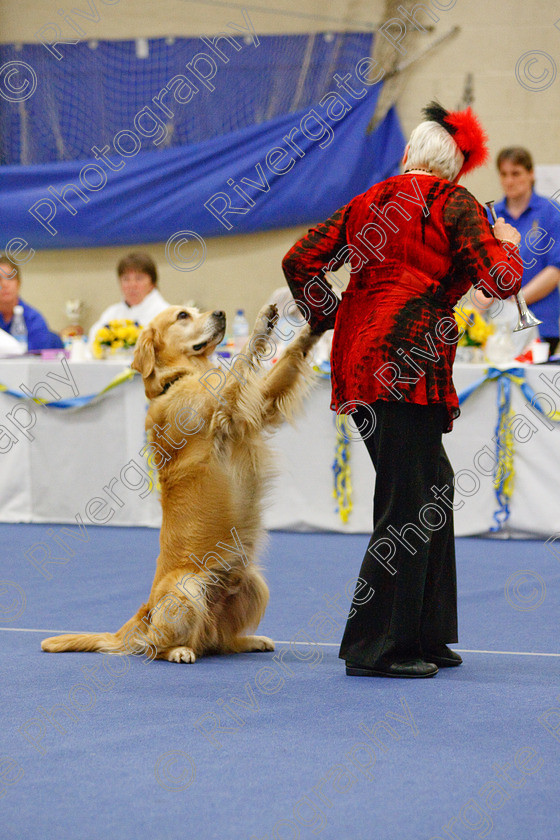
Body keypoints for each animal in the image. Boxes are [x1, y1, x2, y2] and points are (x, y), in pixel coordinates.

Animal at [42, 302, 320, 664]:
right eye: (182, 316)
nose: (220, 314)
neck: (180, 378)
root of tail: (142, 613)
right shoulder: (224, 406)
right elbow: (242, 359)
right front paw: (262, 324)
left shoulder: (260, 403)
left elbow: (283, 362)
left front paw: (309, 330)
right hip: (187, 589)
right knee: (158, 646)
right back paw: (179, 651)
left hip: (254, 584)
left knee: (218, 641)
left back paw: (249, 640)